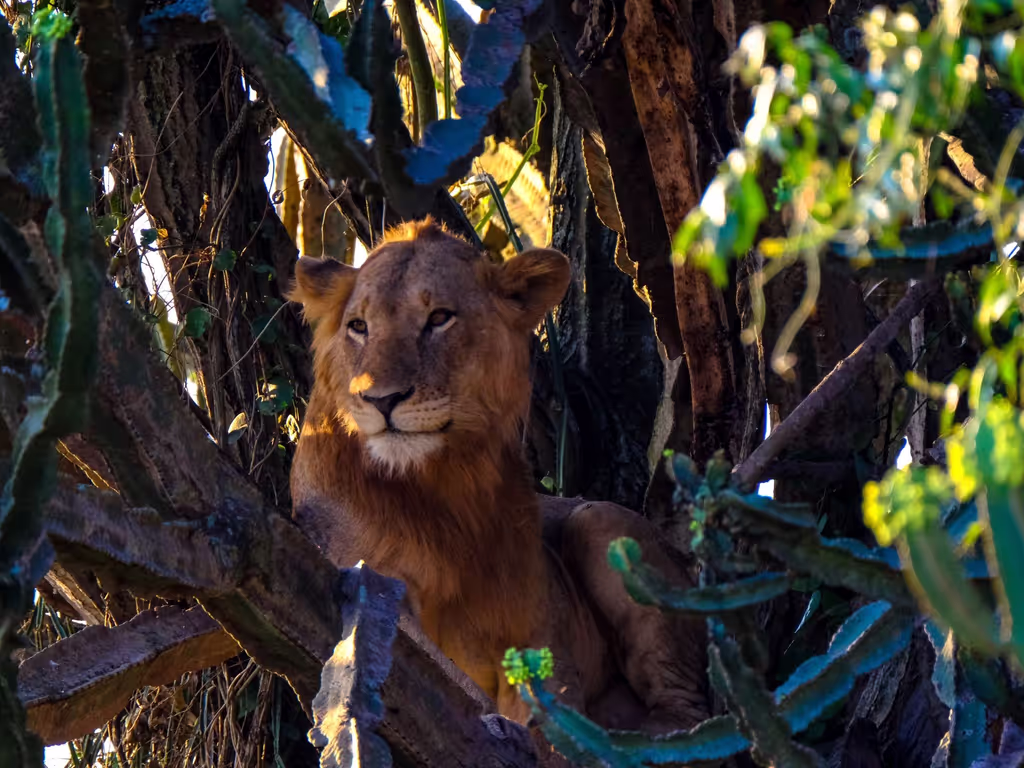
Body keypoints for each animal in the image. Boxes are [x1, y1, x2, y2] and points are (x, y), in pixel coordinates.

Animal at [288, 219, 707, 738]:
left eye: (439, 318)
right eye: (359, 327)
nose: (381, 400)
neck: (445, 484)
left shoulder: (539, 636)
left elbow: (544, 713)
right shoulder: (375, 586)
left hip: (599, 521)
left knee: (695, 708)